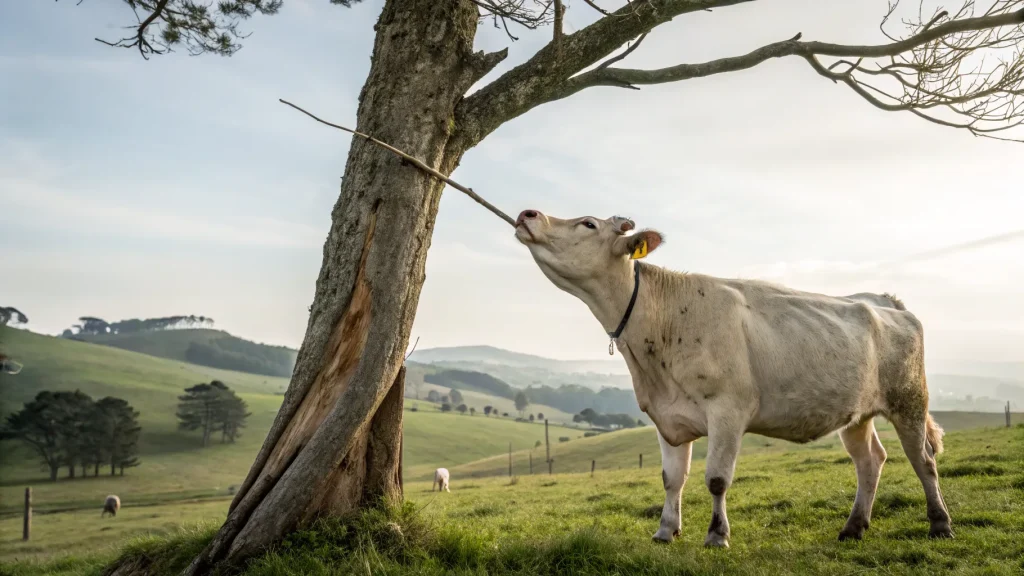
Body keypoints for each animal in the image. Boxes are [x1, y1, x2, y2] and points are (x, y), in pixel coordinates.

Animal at [514, 210, 952, 548]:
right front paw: (665, 531)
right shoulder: (666, 415)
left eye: (588, 223)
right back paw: (853, 528)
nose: (527, 213)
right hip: (856, 413)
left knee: (923, 460)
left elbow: (716, 479)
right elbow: (672, 479)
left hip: (910, 400)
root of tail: (884, 299)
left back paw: (940, 524)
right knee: (870, 460)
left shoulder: (728, 410)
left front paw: (716, 535)